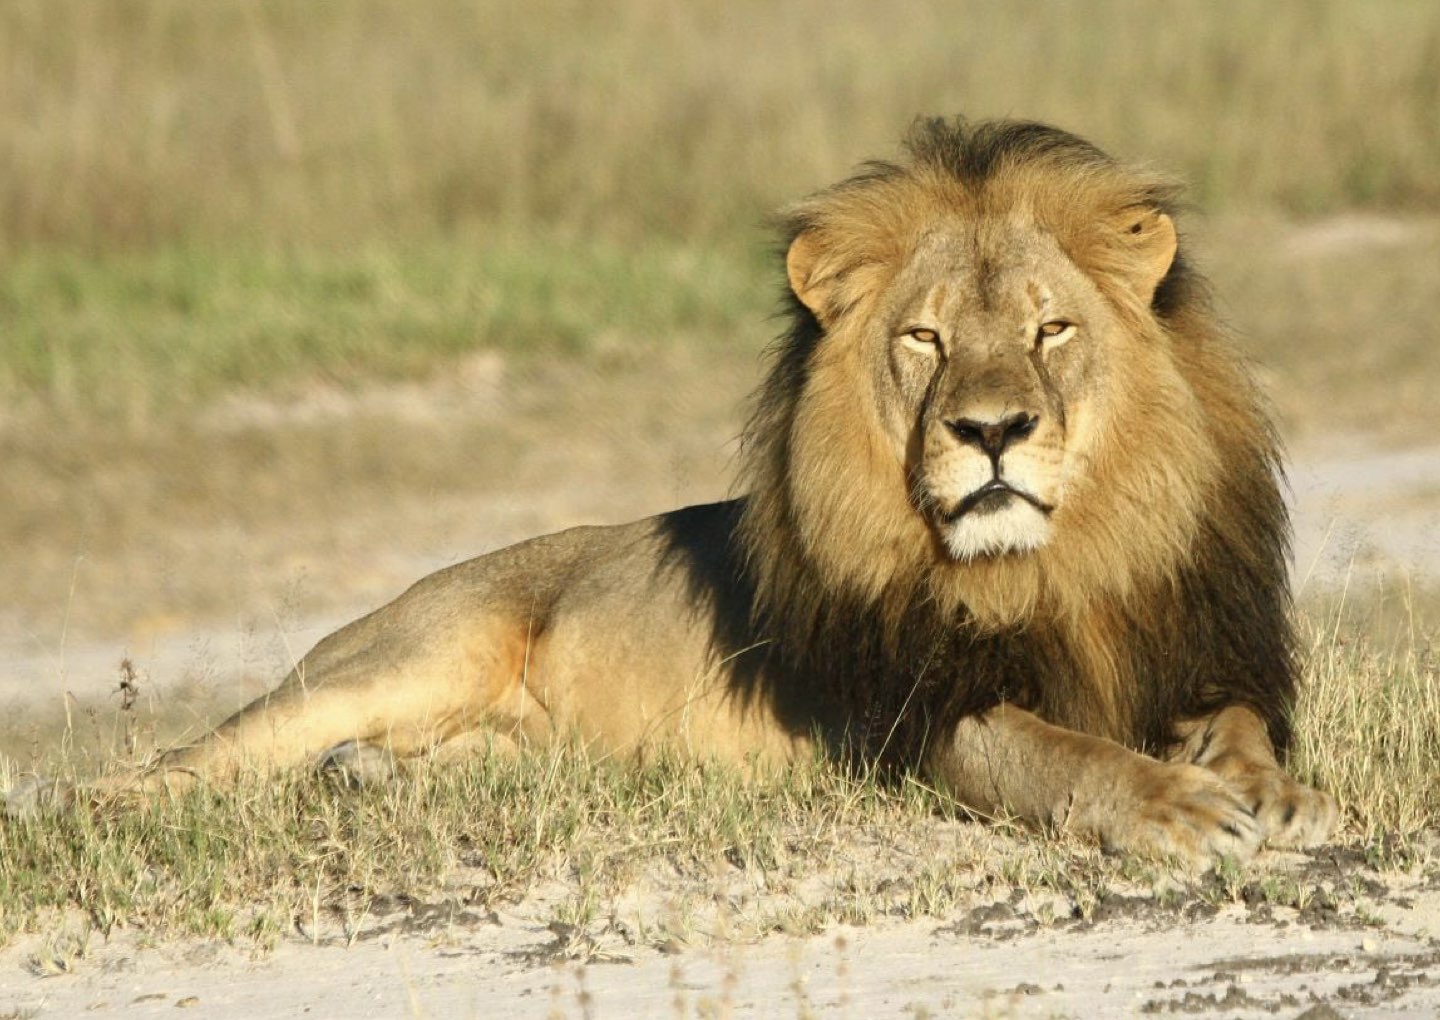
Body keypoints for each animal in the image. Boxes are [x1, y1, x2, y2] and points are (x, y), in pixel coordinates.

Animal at [12, 117, 1337, 866]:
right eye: (923, 340)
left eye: (1051, 329)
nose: (993, 430)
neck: (1054, 566)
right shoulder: (912, 717)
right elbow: (1056, 756)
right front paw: (1177, 809)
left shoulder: (1196, 651)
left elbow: (1242, 727)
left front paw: (1272, 795)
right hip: (401, 656)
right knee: (192, 759)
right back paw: (69, 807)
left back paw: (367, 778)